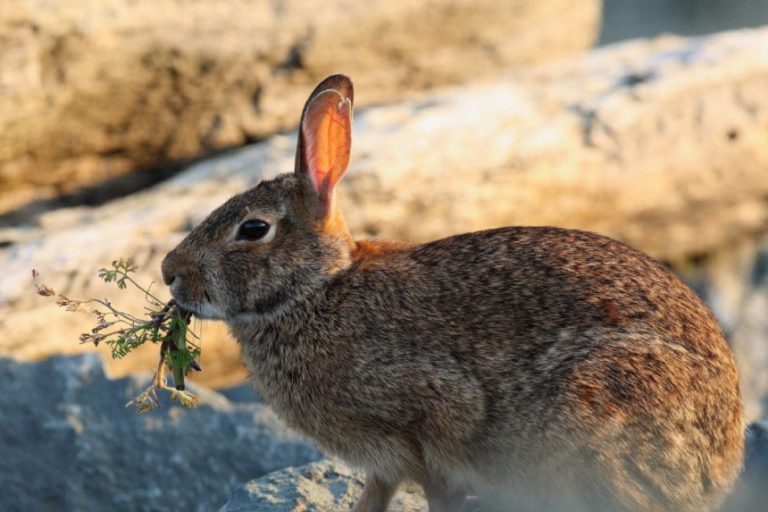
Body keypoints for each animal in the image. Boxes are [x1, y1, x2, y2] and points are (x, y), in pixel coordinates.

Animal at [162, 73, 744, 512]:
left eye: (253, 229)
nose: (169, 271)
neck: (316, 292)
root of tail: (720, 462)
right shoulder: (383, 464)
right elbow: (373, 497)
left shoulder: (431, 413)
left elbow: (441, 483)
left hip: (595, 415)